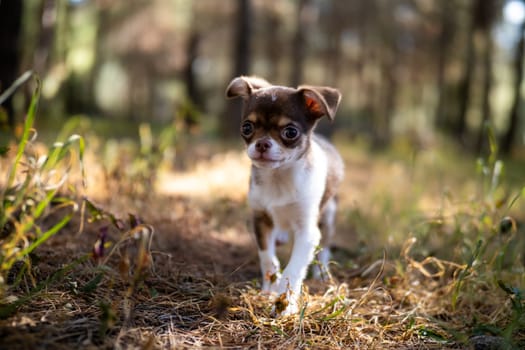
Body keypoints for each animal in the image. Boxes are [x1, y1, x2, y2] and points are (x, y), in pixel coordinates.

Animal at [226, 75, 344, 316]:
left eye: (290, 132)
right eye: (247, 127)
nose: (262, 143)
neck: (278, 178)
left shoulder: (307, 232)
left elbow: (294, 269)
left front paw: (285, 303)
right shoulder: (260, 219)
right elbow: (268, 260)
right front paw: (269, 289)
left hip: (328, 216)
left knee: (325, 249)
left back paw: (322, 275)